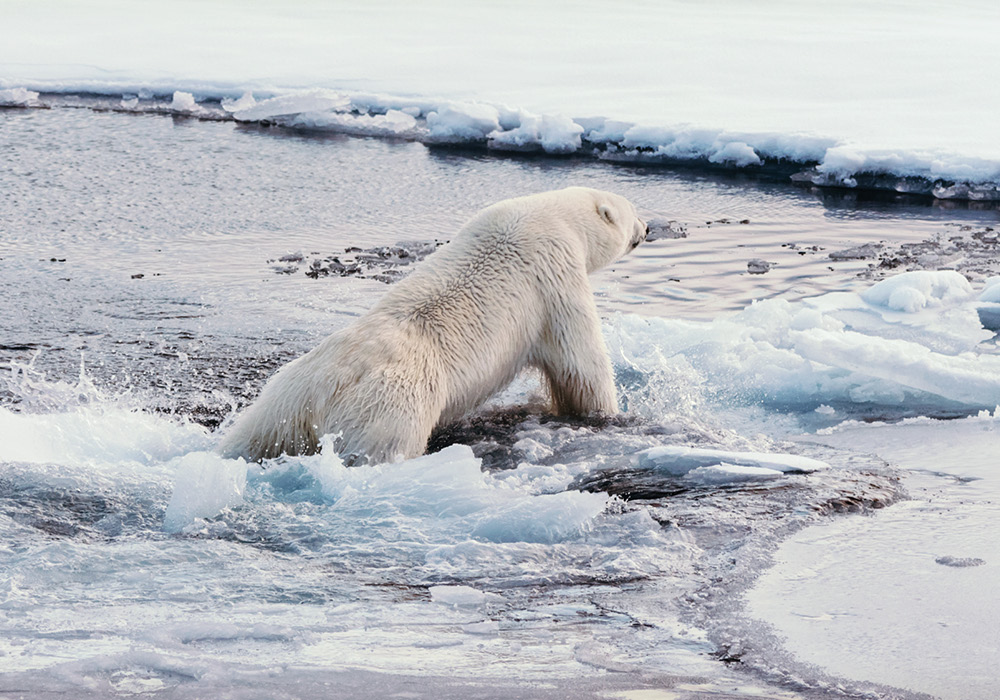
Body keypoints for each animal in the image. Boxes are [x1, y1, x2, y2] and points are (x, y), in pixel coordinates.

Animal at [219, 189, 648, 464]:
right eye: (632, 210)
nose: (647, 228)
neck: (553, 215)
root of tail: (326, 390)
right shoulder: (554, 274)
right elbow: (580, 362)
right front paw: (608, 414)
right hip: (390, 408)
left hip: (281, 404)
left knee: (254, 438)